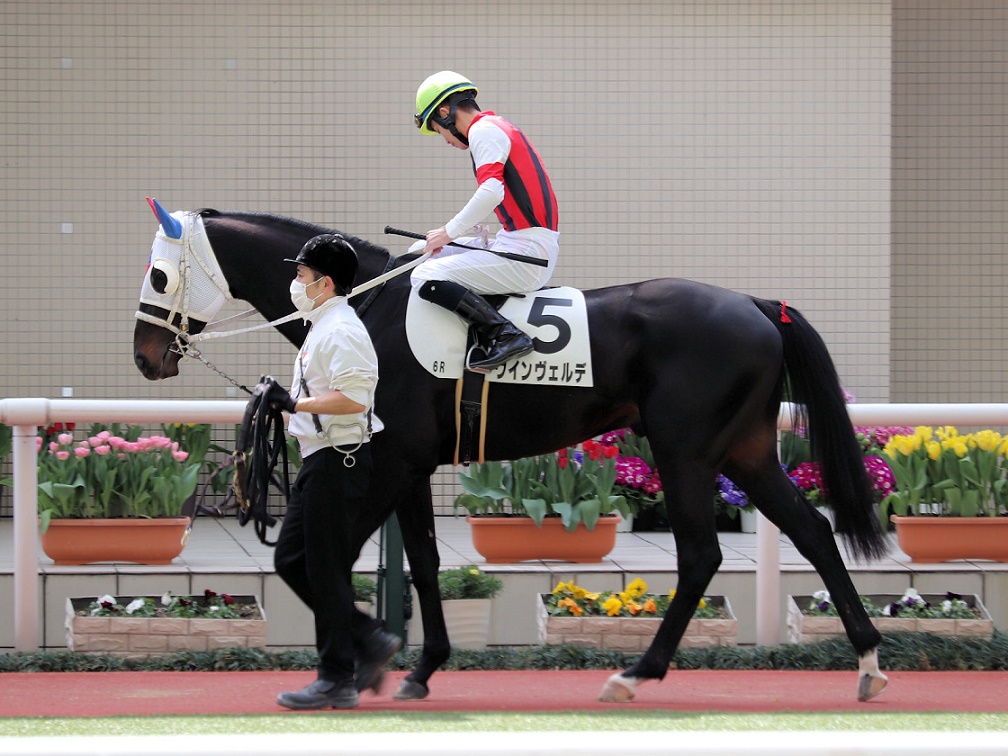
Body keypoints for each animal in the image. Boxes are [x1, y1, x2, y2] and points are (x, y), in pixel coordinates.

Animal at [132, 202, 891, 705]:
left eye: (159, 277)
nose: (145, 356)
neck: (368, 309)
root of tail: (759, 305)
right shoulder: (413, 467)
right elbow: (423, 565)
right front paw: (417, 666)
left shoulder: (392, 460)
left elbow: (331, 559)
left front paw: (366, 659)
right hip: (746, 450)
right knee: (812, 529)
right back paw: (868, 661)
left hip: (687, 452)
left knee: (703, 554)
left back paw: (637, 672)